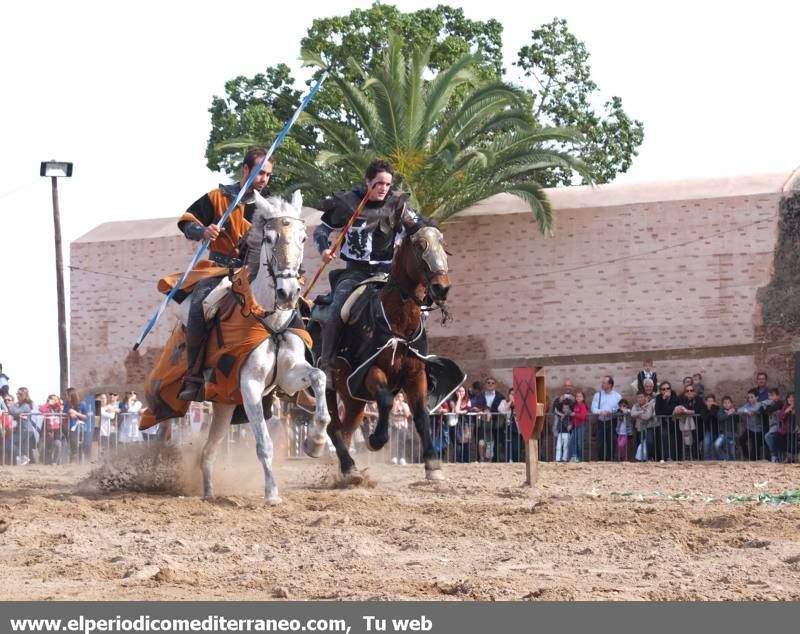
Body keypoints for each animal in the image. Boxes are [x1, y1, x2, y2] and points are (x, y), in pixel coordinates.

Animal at [173, 189, 326, 504]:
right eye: (268, 238)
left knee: (208, 453)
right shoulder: (250, 383)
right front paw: (272, 492)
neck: (269, 318)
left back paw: (209, 491)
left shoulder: (289, 375)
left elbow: (319, 376)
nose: (288, 293)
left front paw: (316, 441)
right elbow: (264, 443)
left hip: (224, 407)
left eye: (304, 238)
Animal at [310, 225, 454, 482]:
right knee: (333, 426)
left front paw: (433, 465)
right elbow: (386, 400)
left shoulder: (415, 375)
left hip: (353, 399)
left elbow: (421, 414)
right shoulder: (369, 371)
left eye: (443, 244)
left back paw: (348, 469)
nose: (442, 287)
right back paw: (347, 466)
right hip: (329, 387)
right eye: (420, 246)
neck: (398, 325)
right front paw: (376, 440)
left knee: (346, 428)